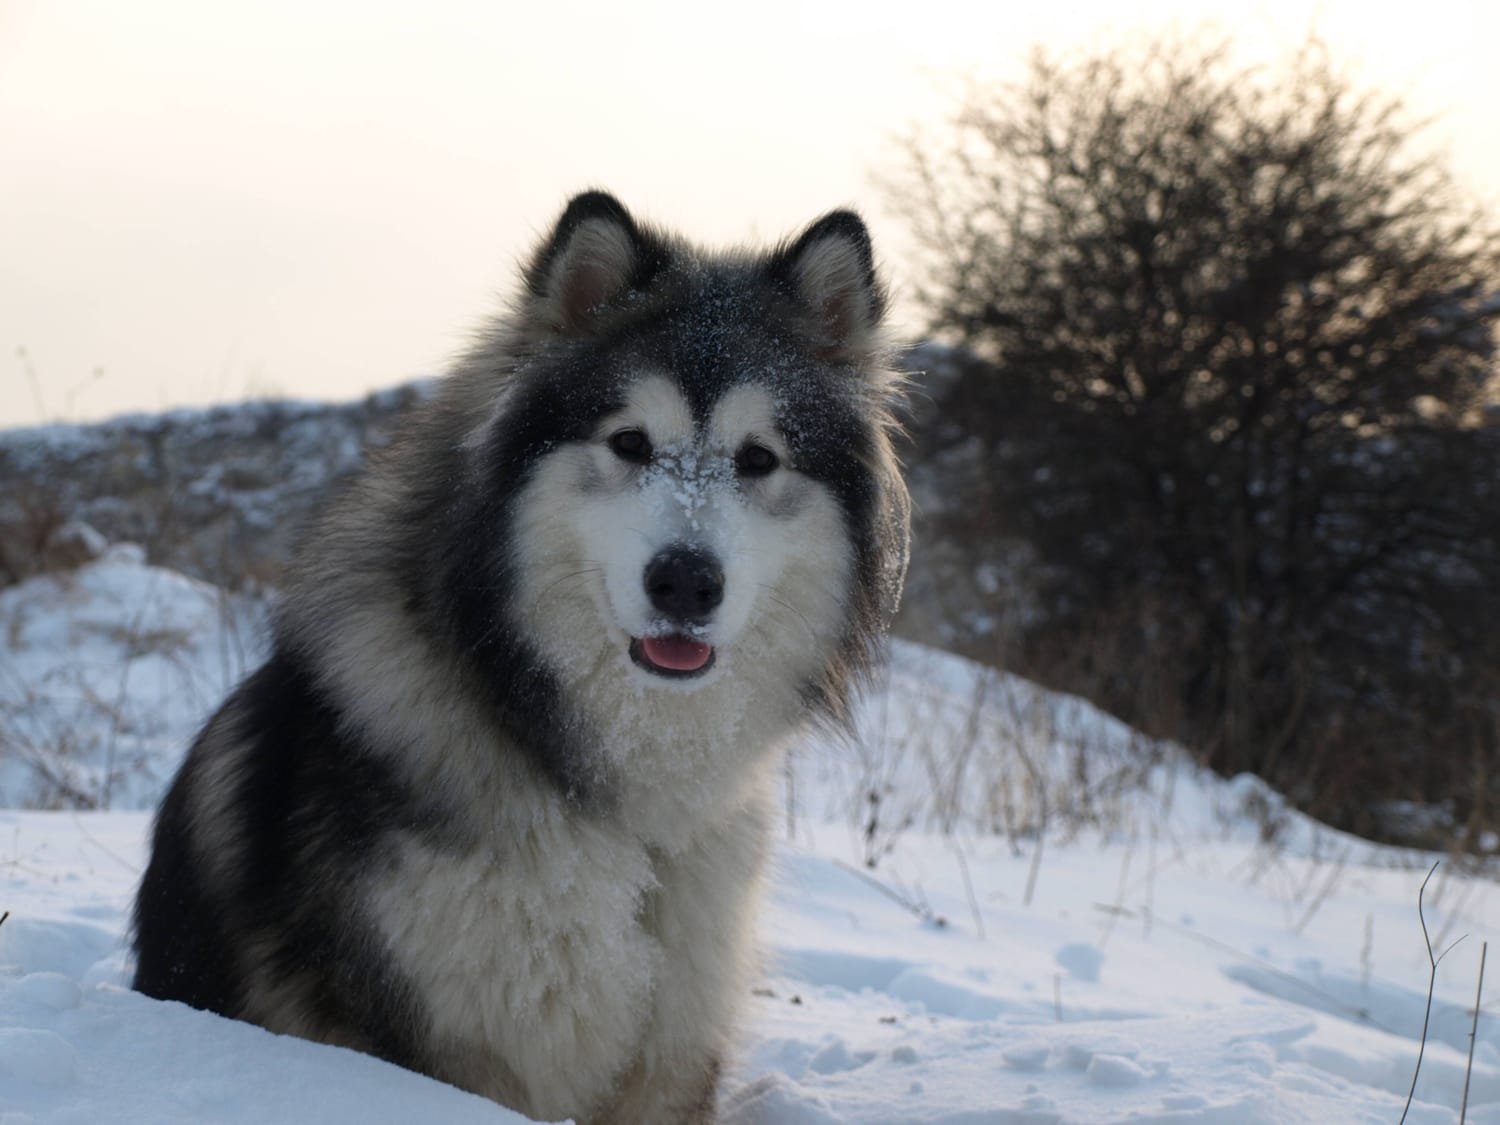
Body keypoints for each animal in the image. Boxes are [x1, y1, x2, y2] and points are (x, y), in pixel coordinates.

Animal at [138, 193, 912, 1125]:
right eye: (629, 442)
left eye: (759, 457)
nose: (686, 581)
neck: (617, 813)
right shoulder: (459, 1048)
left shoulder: (673, 1045)